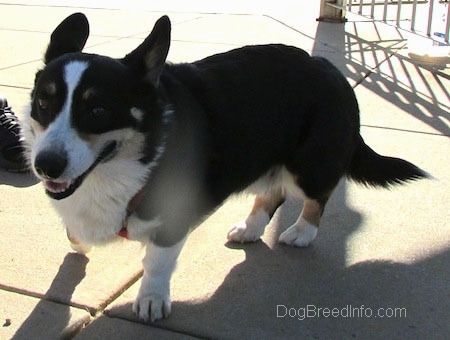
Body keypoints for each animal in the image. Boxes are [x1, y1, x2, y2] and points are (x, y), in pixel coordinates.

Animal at [22, 13, 428, 322]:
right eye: (43, 103)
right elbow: (76, 234)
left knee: (316, 197)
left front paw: (151, 299)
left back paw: (301, 233)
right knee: (272, 193)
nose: (46, 166)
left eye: (97, 111)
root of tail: (329, 67)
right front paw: (79, 243)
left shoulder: (173, 221)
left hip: (308, 166)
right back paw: (250, 228)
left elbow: (157, 263)